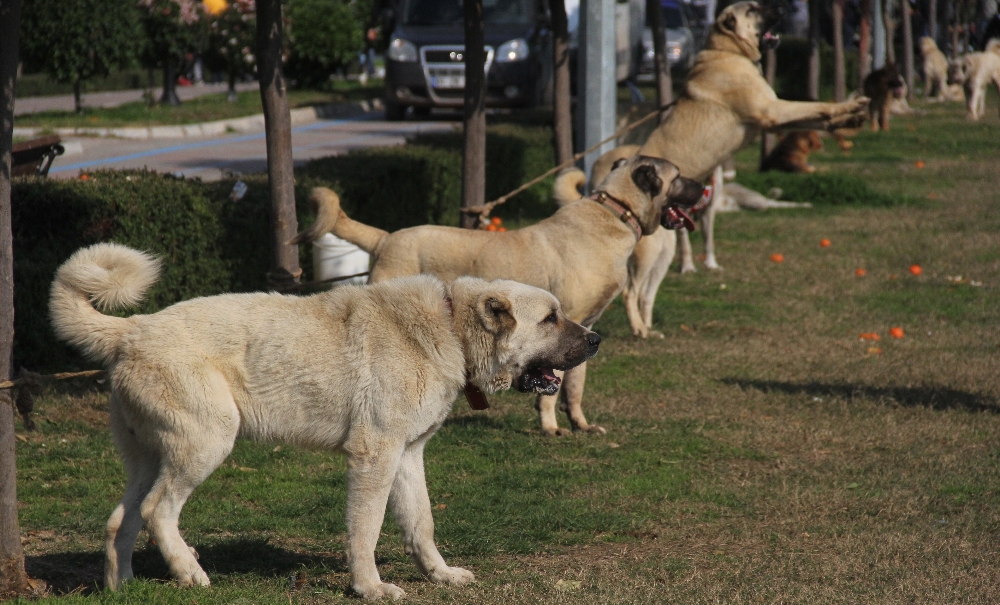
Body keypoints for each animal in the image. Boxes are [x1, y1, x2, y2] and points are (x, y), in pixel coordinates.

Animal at [50, 242, 596, 600]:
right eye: (550, 318)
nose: (597, 339)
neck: (450, 328)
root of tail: (131, 330)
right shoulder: (374, 458)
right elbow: (366, 529)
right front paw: (370, 587)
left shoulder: (407, 456)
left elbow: (421, 523)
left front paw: (439, 575)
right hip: (206, 443)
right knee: (158, 511)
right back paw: (189, 572)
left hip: (150, 458)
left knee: (121, 519)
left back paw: (124, 588)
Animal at [292, 156, 708, 434]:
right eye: (678, 176)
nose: (705, 188)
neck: (614, 213)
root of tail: (385, 239)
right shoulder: (560, 333)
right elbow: (553, 387)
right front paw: (550, 427)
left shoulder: (585, 329)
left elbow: (575, 385)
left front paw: (580, 424)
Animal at [568, 0, 872, 338]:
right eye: (753, 9)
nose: (782, 8)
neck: (726, 50)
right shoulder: (773, 110)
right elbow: (817, 107)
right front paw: (849, 108)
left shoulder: (775, 117)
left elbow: (817, 116)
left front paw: (852, 116)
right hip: (646, 253)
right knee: (630, 292)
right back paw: (639, 330)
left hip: (665, 250)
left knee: (645, 293)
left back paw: (648, 327)